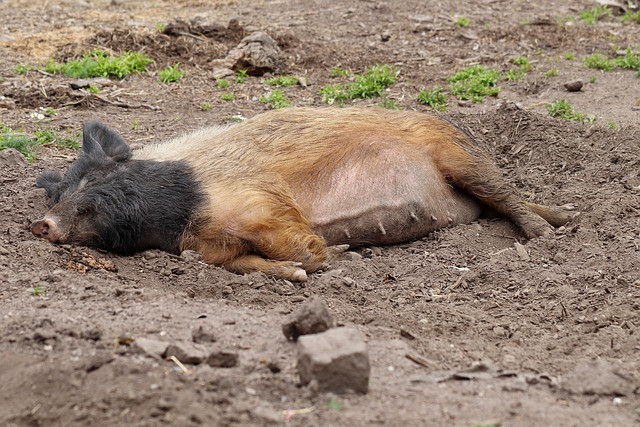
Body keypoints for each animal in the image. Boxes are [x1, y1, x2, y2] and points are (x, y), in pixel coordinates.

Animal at [30, 108, 576, 280]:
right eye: (57, 193)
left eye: (94, 181)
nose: (42, 223)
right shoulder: (210, 248)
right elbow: (241, 262)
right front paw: (299, 271)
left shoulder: (261, 202)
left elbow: (302, 245)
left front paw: (335, 252)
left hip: (457, 152)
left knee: (506, 195)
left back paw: (551, 232)